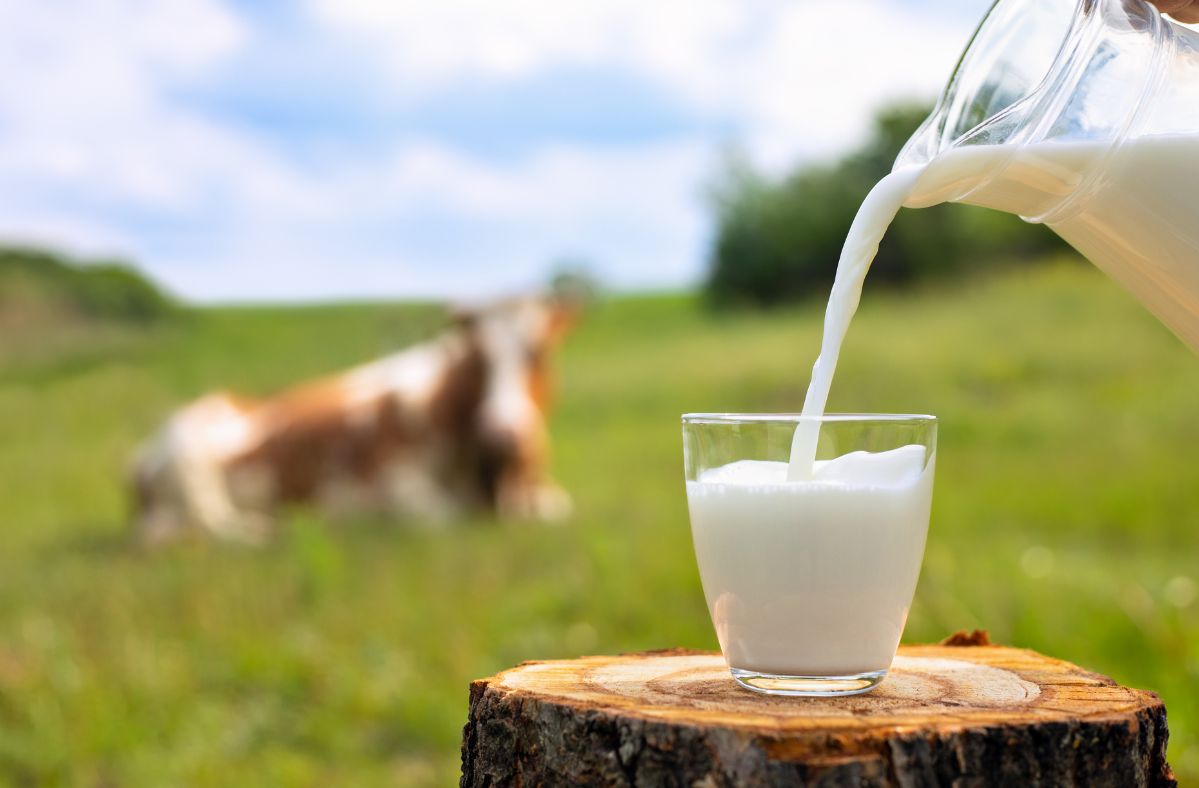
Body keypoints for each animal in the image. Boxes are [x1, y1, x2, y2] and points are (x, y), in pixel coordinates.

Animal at [131, 291, 575, 544]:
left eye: (538, 355)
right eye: (478, 358)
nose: (502, 433)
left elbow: (558, 508)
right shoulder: (387, 487)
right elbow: (441, 517)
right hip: (189, 458)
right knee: (205, 527)